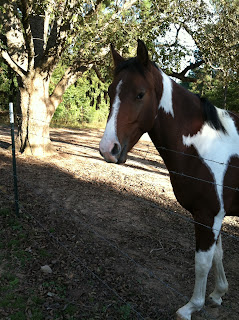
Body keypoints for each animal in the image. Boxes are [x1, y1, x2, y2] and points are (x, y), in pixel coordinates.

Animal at [99, 40, 239, 320]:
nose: (108, 149)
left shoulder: (208, 216)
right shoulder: (216, 216)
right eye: (110, 92)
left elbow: (202, 262)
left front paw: (192, 307)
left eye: (140, 94)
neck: (206, 145)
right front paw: (218, 294)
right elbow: (218, 255)